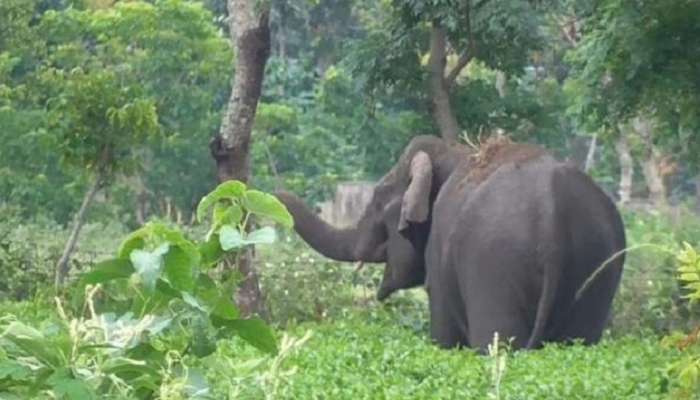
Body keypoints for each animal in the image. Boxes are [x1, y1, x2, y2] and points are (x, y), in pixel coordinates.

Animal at [276, 135, 628, 350]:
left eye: (377, 203)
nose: (274, 191)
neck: (455, 150)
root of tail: (554, 215)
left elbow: (443, 330)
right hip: (598, 267)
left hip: (494, 265)